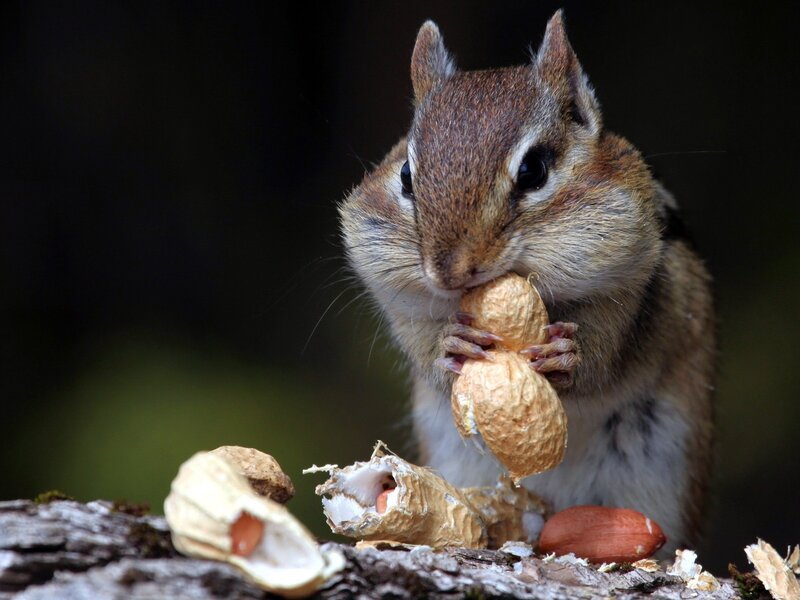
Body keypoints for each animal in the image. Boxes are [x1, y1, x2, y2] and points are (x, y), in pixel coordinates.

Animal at [339, 11, 715, 551]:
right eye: (407, 175)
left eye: (534, 170)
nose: (449, 272)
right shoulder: (401, 301)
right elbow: (425, 347)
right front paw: (451, 344)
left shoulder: (638, 287)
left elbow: (610, 352)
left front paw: (567, 355)